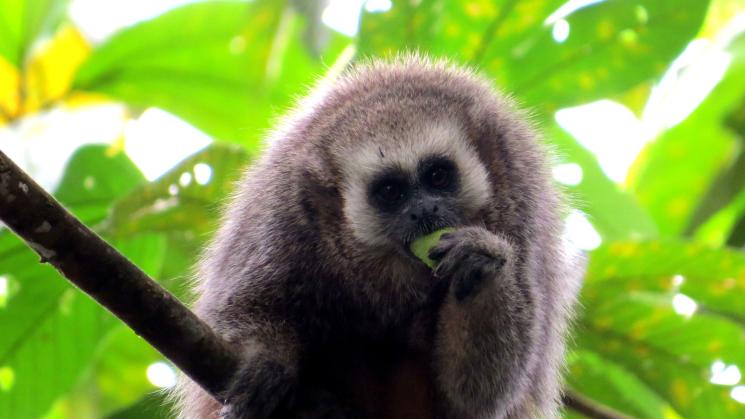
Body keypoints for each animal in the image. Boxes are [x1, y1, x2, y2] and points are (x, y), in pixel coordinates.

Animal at [172, 55, 583, 419]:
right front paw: (265, 359)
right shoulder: (281, 211)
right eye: (390, 192)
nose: (424, 211)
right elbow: (240, 307)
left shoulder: (520, 202)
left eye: (437, 176)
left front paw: (479, 260)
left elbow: (479, 394)